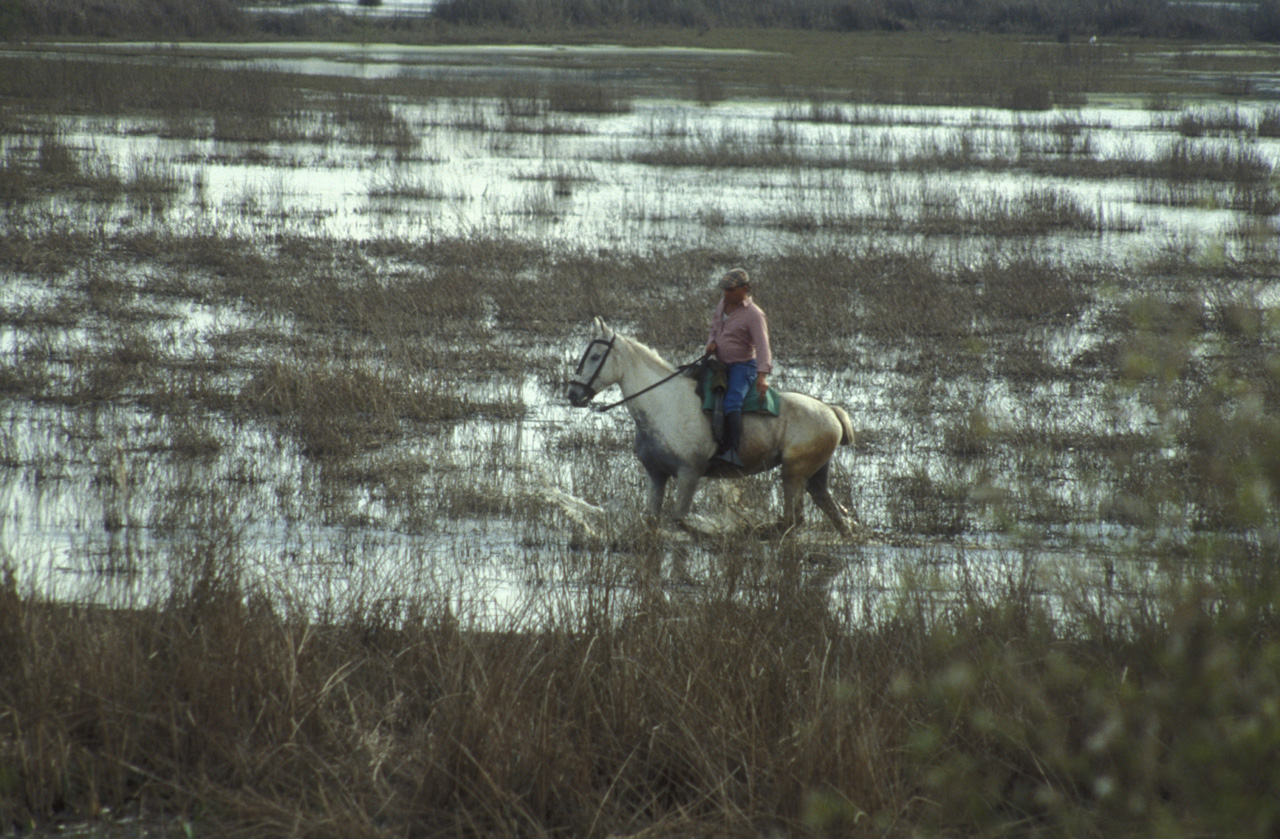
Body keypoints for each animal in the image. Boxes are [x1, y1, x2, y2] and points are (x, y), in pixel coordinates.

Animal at [568, 318, 849, 535]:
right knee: (829, 510)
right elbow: (652, 519)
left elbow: (680, 519)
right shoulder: (656, 475)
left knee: (794, 519)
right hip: (813, 474)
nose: (573, 394)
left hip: (794, 473)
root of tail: (830, 412)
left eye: (595, 356)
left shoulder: (689, 474)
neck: (664, 404)